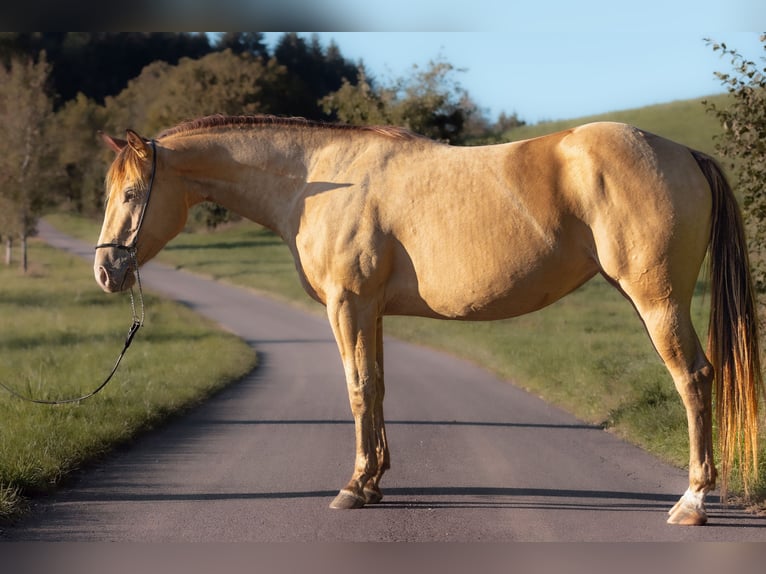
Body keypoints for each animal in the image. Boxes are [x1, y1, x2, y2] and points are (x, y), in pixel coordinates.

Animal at [94, 114, 763, 526]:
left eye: (130, 195)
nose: (106, 271)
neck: (316, 181)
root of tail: (684, 153)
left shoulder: (347, 304)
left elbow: (357, 388)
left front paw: (352, 487)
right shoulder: (370, 310)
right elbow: (378, 387)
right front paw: (373, 481)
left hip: (657, 300)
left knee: (694, 379)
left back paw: (693, 501)